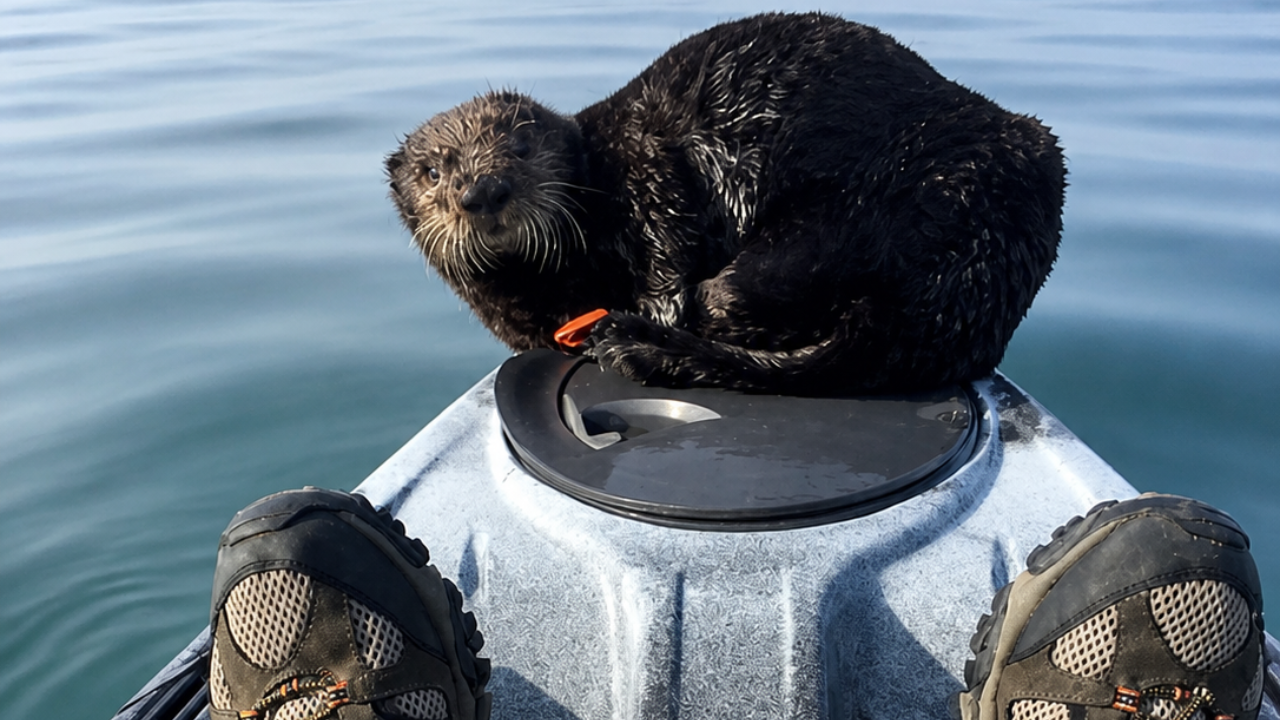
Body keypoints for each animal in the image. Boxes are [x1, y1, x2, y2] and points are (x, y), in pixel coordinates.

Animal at [386, 12, 1064, 394]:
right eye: (431, 171)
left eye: (522, 144)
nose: (482, 192)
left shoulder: (646, 159)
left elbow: (666, 229)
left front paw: (656, 307)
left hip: (907, 193)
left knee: (729, 303)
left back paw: (632, 338)